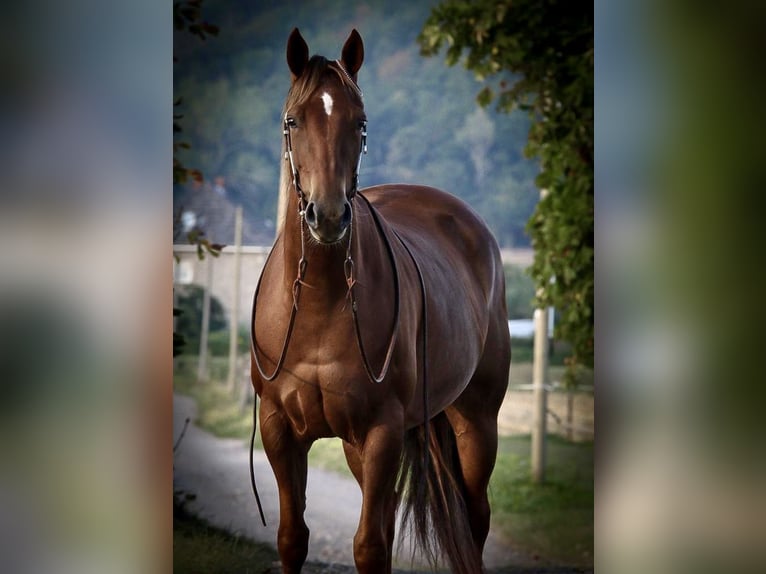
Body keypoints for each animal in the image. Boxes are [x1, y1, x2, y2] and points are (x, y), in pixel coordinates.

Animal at [252, 28, 512, 574]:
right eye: (293, 121)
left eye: (360, 121)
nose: (328, 215)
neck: (319, 308)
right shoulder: (280, 430)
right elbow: (292, 537)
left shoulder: (381, 432)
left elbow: (369, 546)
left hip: (476, 424)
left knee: (475, 518)